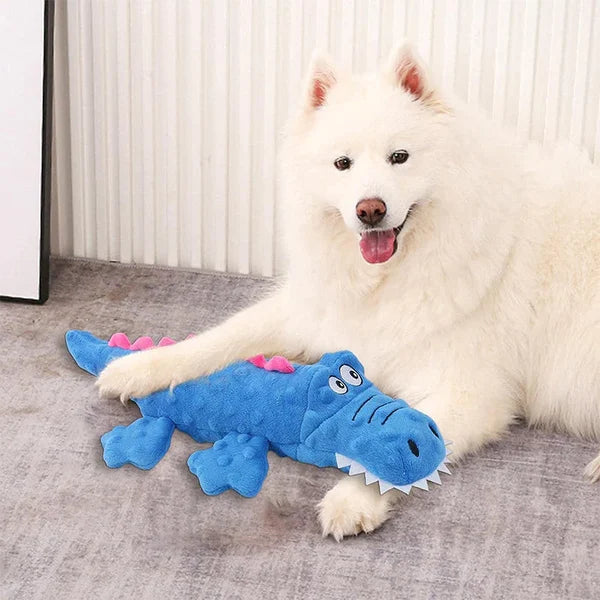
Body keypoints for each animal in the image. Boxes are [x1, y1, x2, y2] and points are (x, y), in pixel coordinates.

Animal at [97, 41, 600, 540]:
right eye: (343, 164)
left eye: (400, 157)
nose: (369, 209)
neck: (389, 278)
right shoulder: (311, 312)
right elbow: (218, 338)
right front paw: (136, 365)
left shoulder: (470, 392)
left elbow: (412, 439)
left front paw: (352, 499)